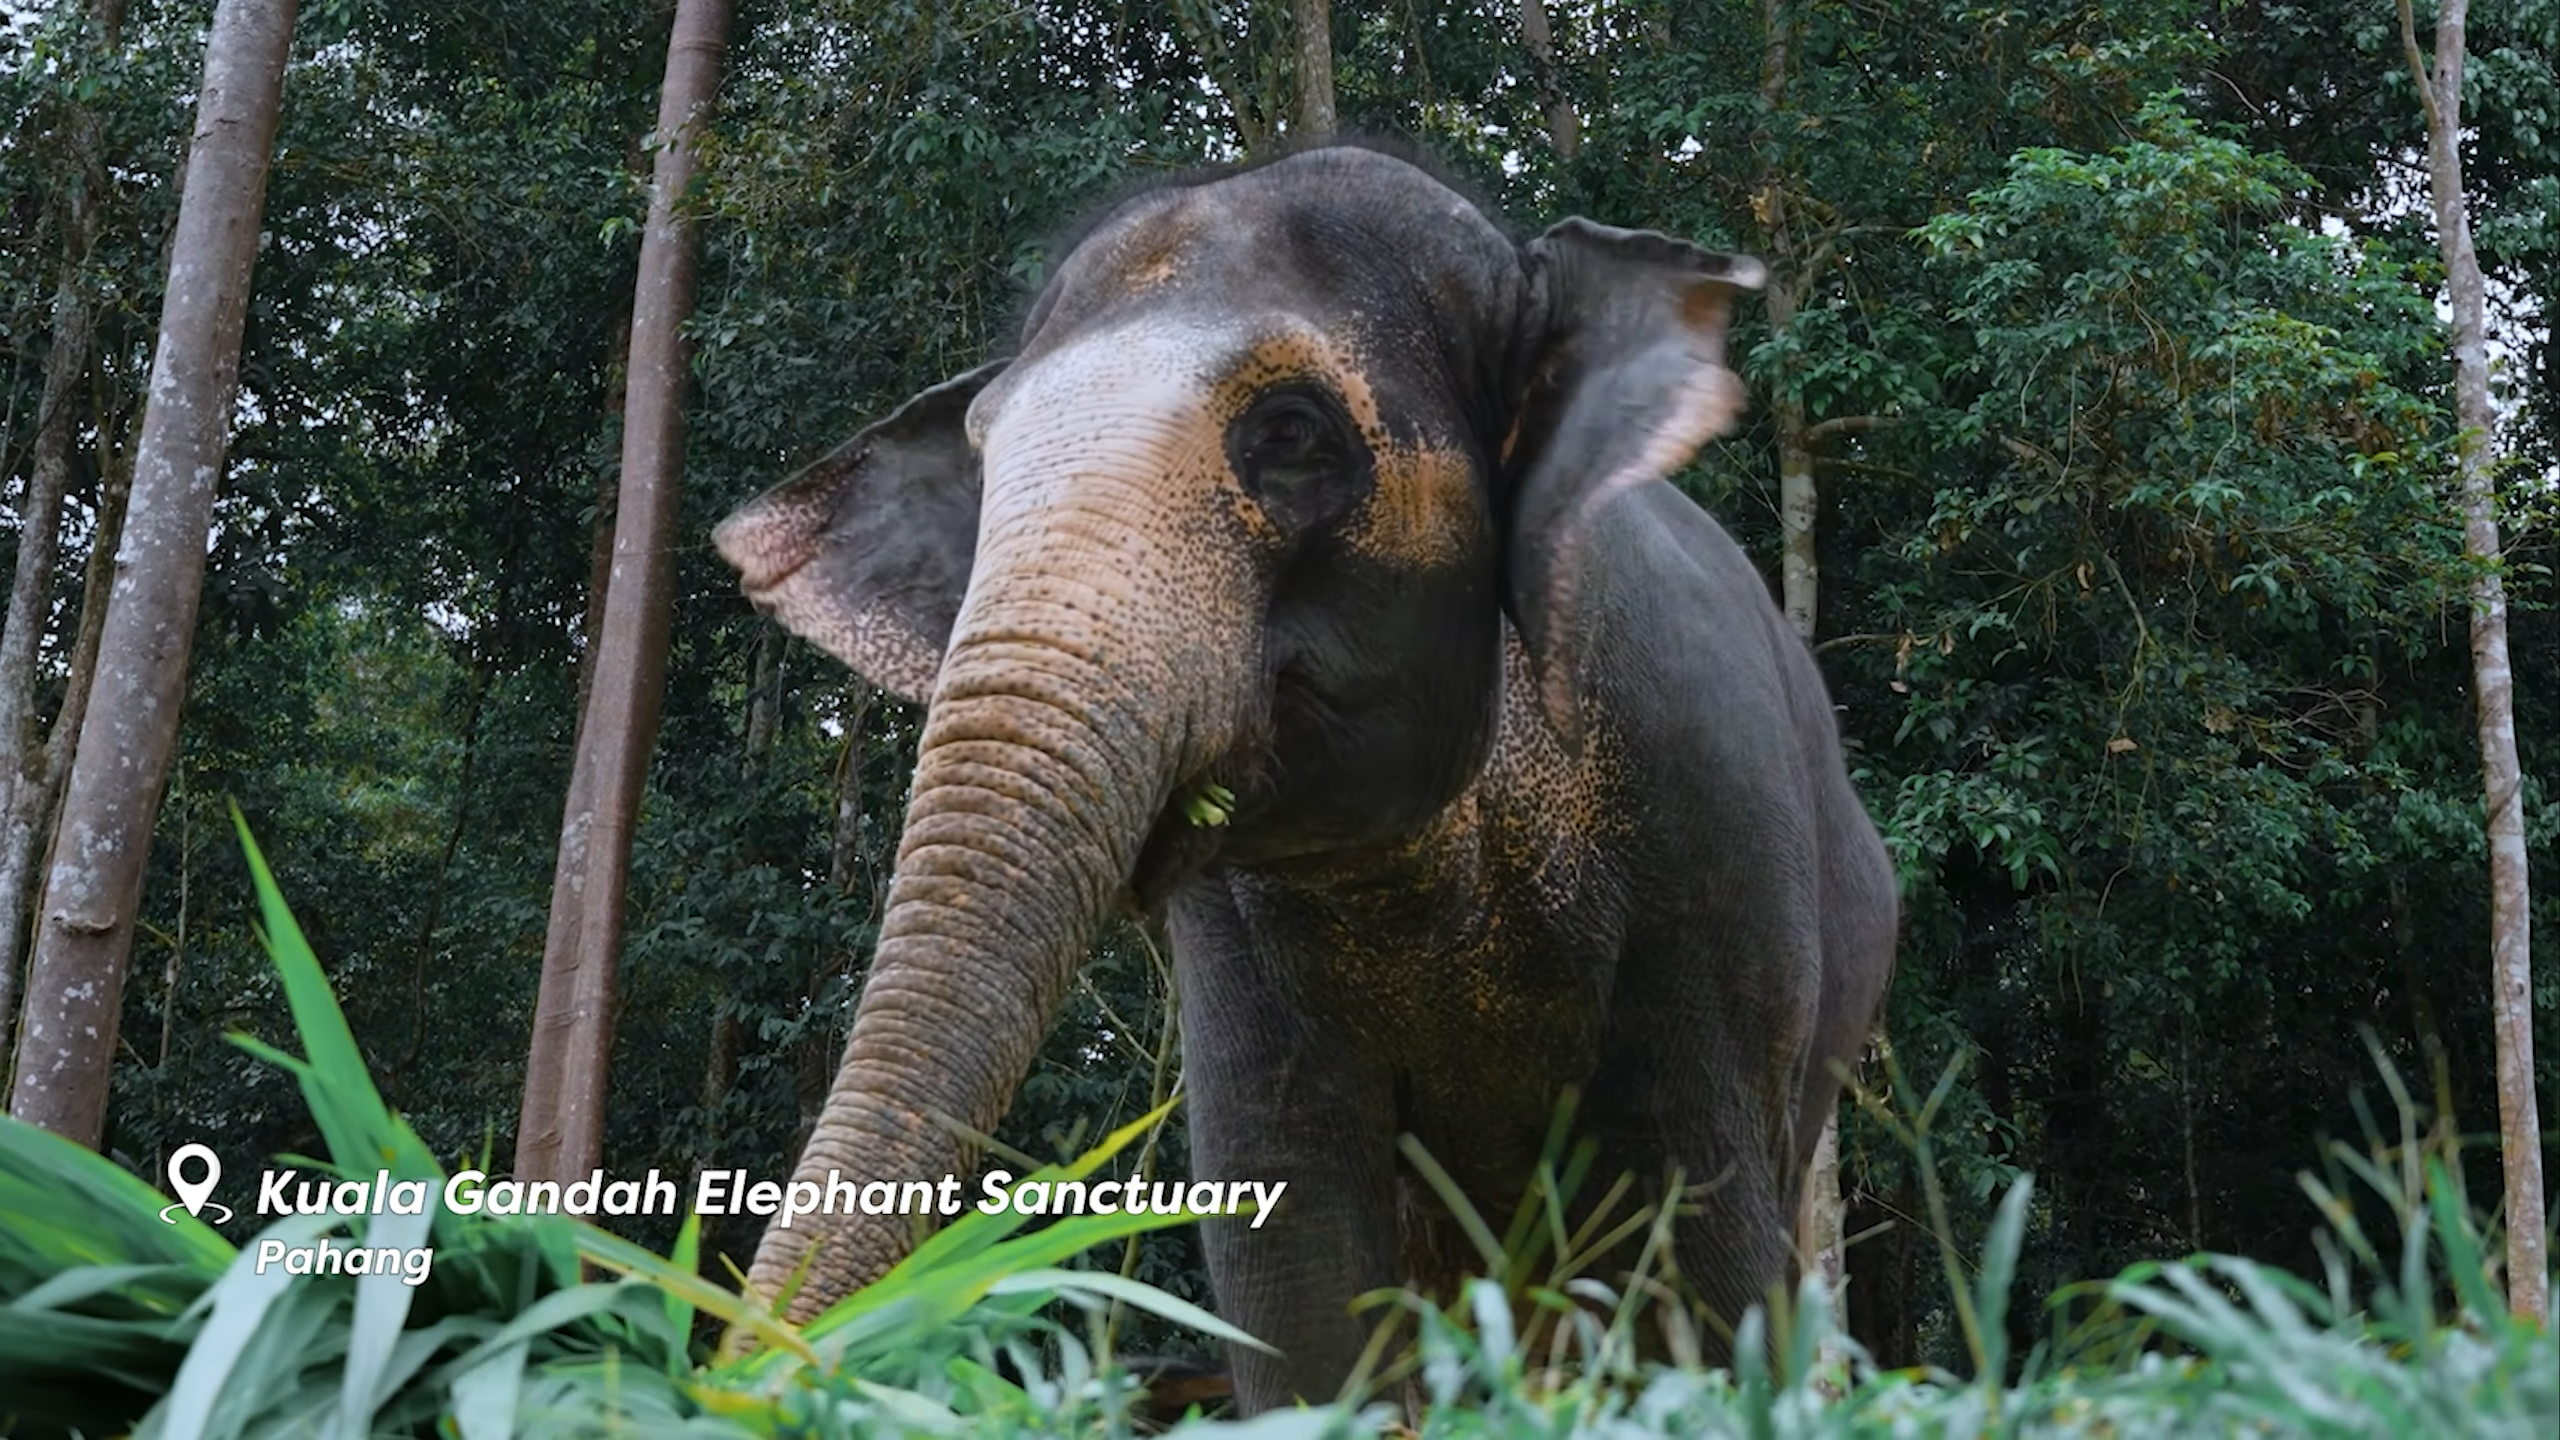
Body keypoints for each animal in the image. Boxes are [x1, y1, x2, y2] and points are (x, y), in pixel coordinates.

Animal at [713, 142, 1896, 1413]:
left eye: (1290, 432)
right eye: (982, 461)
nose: (731, 1379)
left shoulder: (1707, 831)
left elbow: (1708, 1262)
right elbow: (1296, 1262)